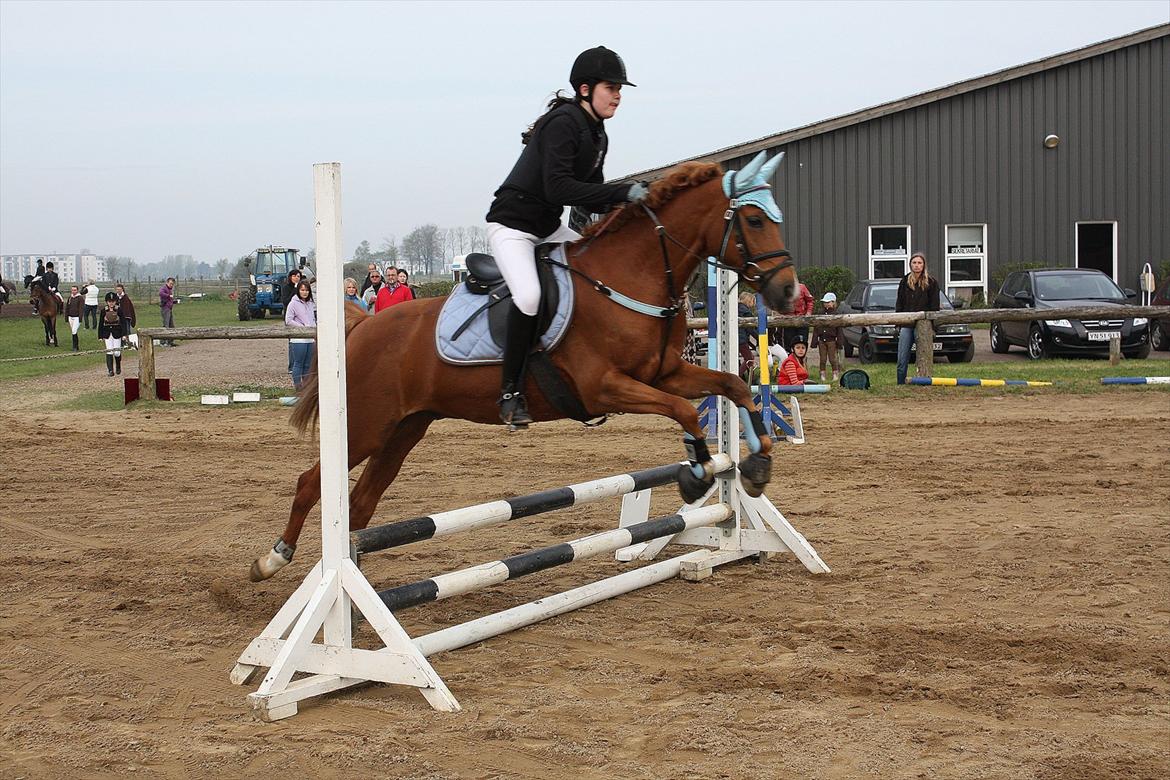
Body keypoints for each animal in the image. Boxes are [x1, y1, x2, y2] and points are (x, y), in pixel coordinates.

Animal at [251, 150, 800, 580]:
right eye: (754, 220)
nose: (788, 291)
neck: (629, 276)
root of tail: (364, 327)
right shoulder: (605, 386)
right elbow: (685, 412)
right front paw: (696, 473)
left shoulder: (665, 375)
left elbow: (733, 386)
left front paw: (757, 464)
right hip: (366, 424)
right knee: (312, 483)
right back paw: (273, 560)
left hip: (404, 429)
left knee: (362, 503)